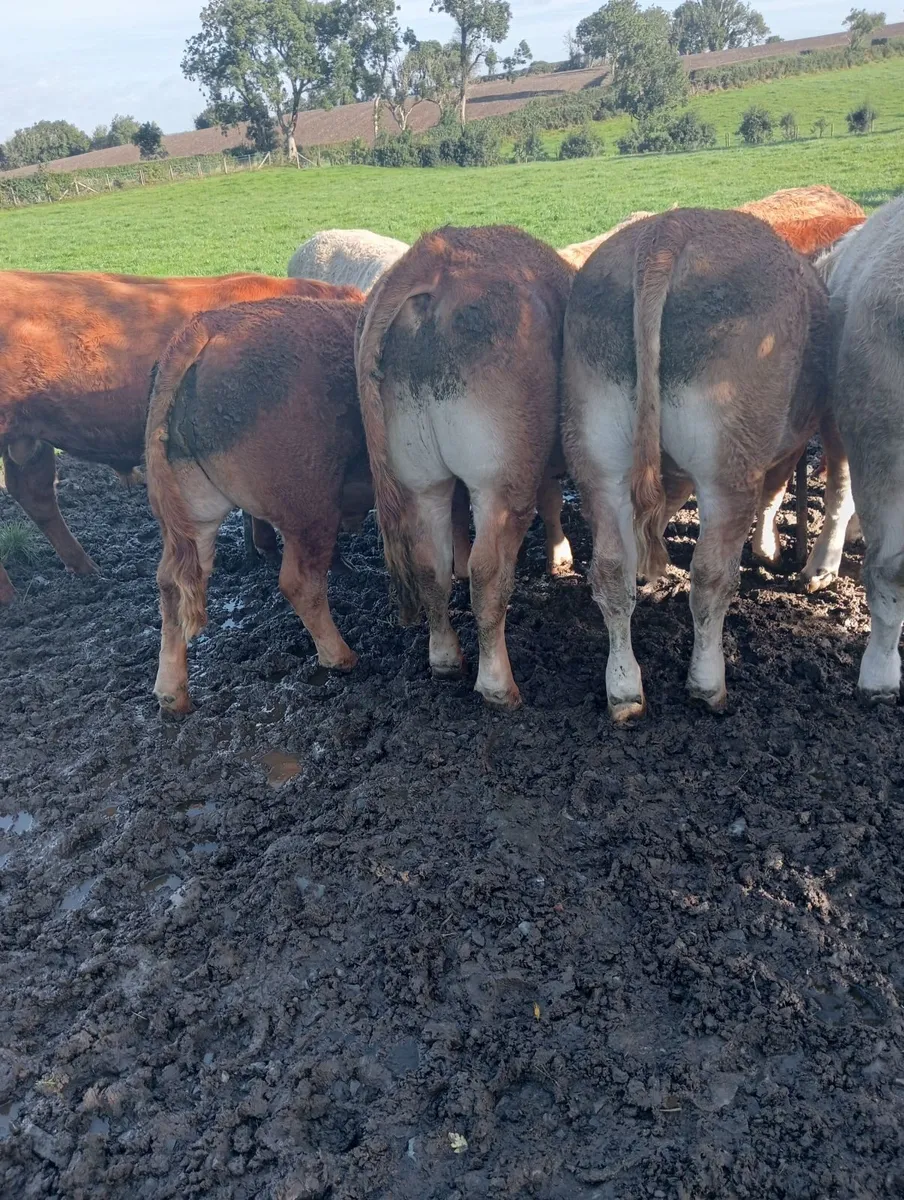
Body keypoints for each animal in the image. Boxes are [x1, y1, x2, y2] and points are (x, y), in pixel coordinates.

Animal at [145, 296, 371, 714]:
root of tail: (210, 325)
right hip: (309, 504)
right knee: (300, 582)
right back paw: (342, 657)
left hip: (193, 509)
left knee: (173, 583)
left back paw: (172, 695)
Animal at [356, 224, 575, 709]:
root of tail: (435, 257)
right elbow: (552, 500)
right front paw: (561, 555)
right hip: (501, 481)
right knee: (488, 573)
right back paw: (497, 685)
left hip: (421, 481)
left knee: (430, 566)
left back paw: (444, 658)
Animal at [562, 208, 829, 721]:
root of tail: (669, 229)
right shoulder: (784, 450)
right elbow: (773, 495)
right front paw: (769, 550)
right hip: (729, 463)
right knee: (710, 577)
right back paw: (707, 683)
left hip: (596, 453)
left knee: (609, 569)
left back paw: (624, 690)